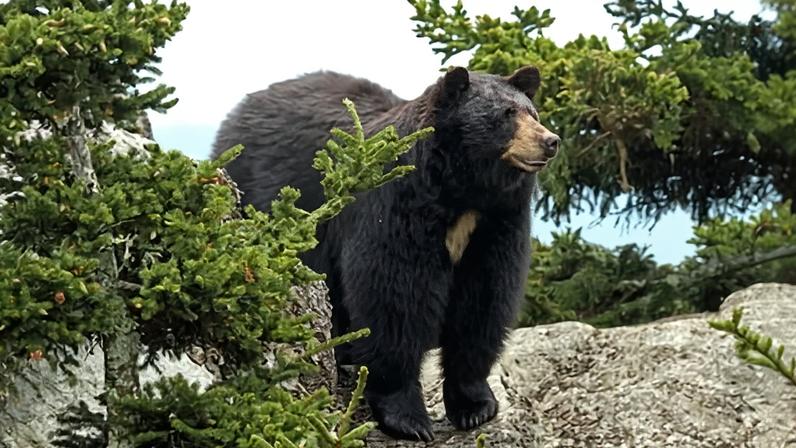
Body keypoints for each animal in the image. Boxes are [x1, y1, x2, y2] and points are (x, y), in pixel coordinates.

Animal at [211, 66, 560, 441]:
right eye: (505, 115)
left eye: (532, 113)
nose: (550, 141)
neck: (462, 194)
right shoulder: (397, 204)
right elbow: (395, 297)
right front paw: (407, 418)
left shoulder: (497, 222)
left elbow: (485, 298)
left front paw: (474, 405)